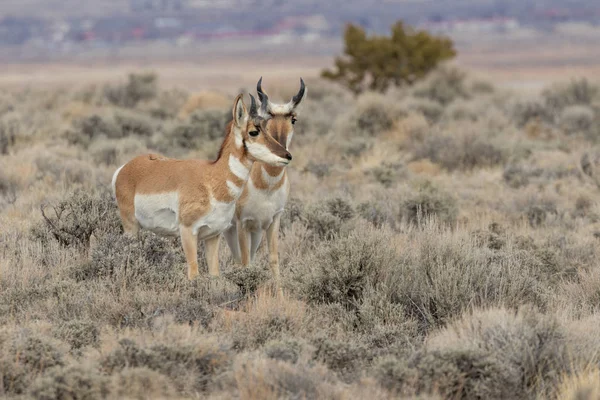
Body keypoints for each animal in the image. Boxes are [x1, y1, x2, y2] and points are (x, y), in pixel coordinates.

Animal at [112, 95, 292, 280]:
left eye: (266, 128)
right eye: (254, 131)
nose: (287, 156)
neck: (211, 180)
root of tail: (125, 168)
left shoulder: (213, 236)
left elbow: (214, 274)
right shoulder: (188, 232)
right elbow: (194, 273)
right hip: (131, 226)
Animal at [224, 77, 304, 290]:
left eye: (293, 119)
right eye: (267, 120)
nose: (284, 154)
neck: (267, 186)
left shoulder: (273, 221)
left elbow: (273, 260)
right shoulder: (242, 224)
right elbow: (244, 264)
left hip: (256, 234)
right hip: (231, 230)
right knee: (237, 260)